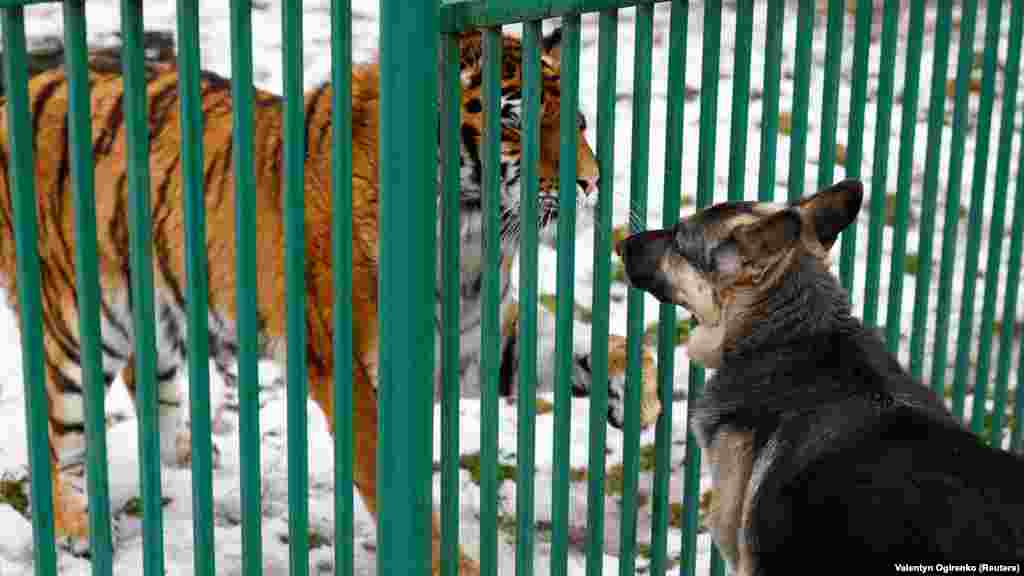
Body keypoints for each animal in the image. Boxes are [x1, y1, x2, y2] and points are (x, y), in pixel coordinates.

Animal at [0, 28, 663, 569]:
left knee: (145, 374)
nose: (592, 182)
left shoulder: (473, 336)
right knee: (57, 433)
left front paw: (640, 393)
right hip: (77, 323)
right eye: (516, 121)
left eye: (580, 121)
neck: (472, 236)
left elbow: (577, 342)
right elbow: (387, 475)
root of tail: (29, 85)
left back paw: (188, 452)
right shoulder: (353, 372)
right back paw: (78, 527)